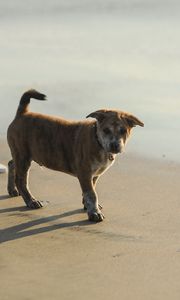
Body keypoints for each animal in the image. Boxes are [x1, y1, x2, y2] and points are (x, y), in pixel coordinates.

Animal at [7, 88, 143, 220]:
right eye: (106, 130)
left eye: (123, 131)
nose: (115, 145)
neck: (98, 141)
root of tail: (22, 114)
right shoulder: (84, 172)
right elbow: (91, 194)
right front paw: (94, 213)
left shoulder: (93, 175)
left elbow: (90, 191)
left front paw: (87, 206)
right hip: (23, 156)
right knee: (21, 180)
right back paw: (31, 201)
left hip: (20, 154)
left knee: (11, 164)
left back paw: (12, 190)